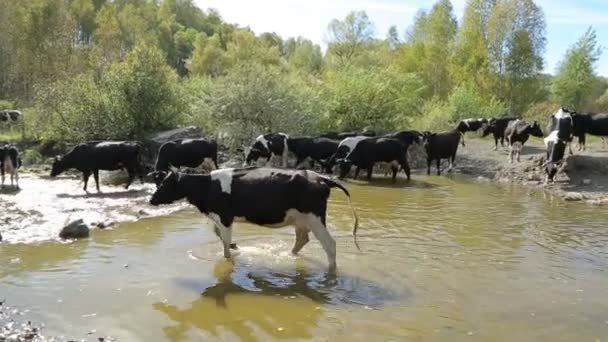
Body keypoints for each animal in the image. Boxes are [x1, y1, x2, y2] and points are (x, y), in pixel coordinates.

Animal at [149, 167, 358, 272]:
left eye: (165, 184)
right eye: (159, 182)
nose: (151, 200)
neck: (207, 186)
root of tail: (321, 178)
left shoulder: (225, 216)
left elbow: (224, 244)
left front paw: (229, 255)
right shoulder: (220, 217)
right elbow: (218, 234)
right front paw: (235, 246)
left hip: (315, 217)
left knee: (329, 244)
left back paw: (331, 271)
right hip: (301, 219)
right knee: (302, 239)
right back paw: (289, 255)